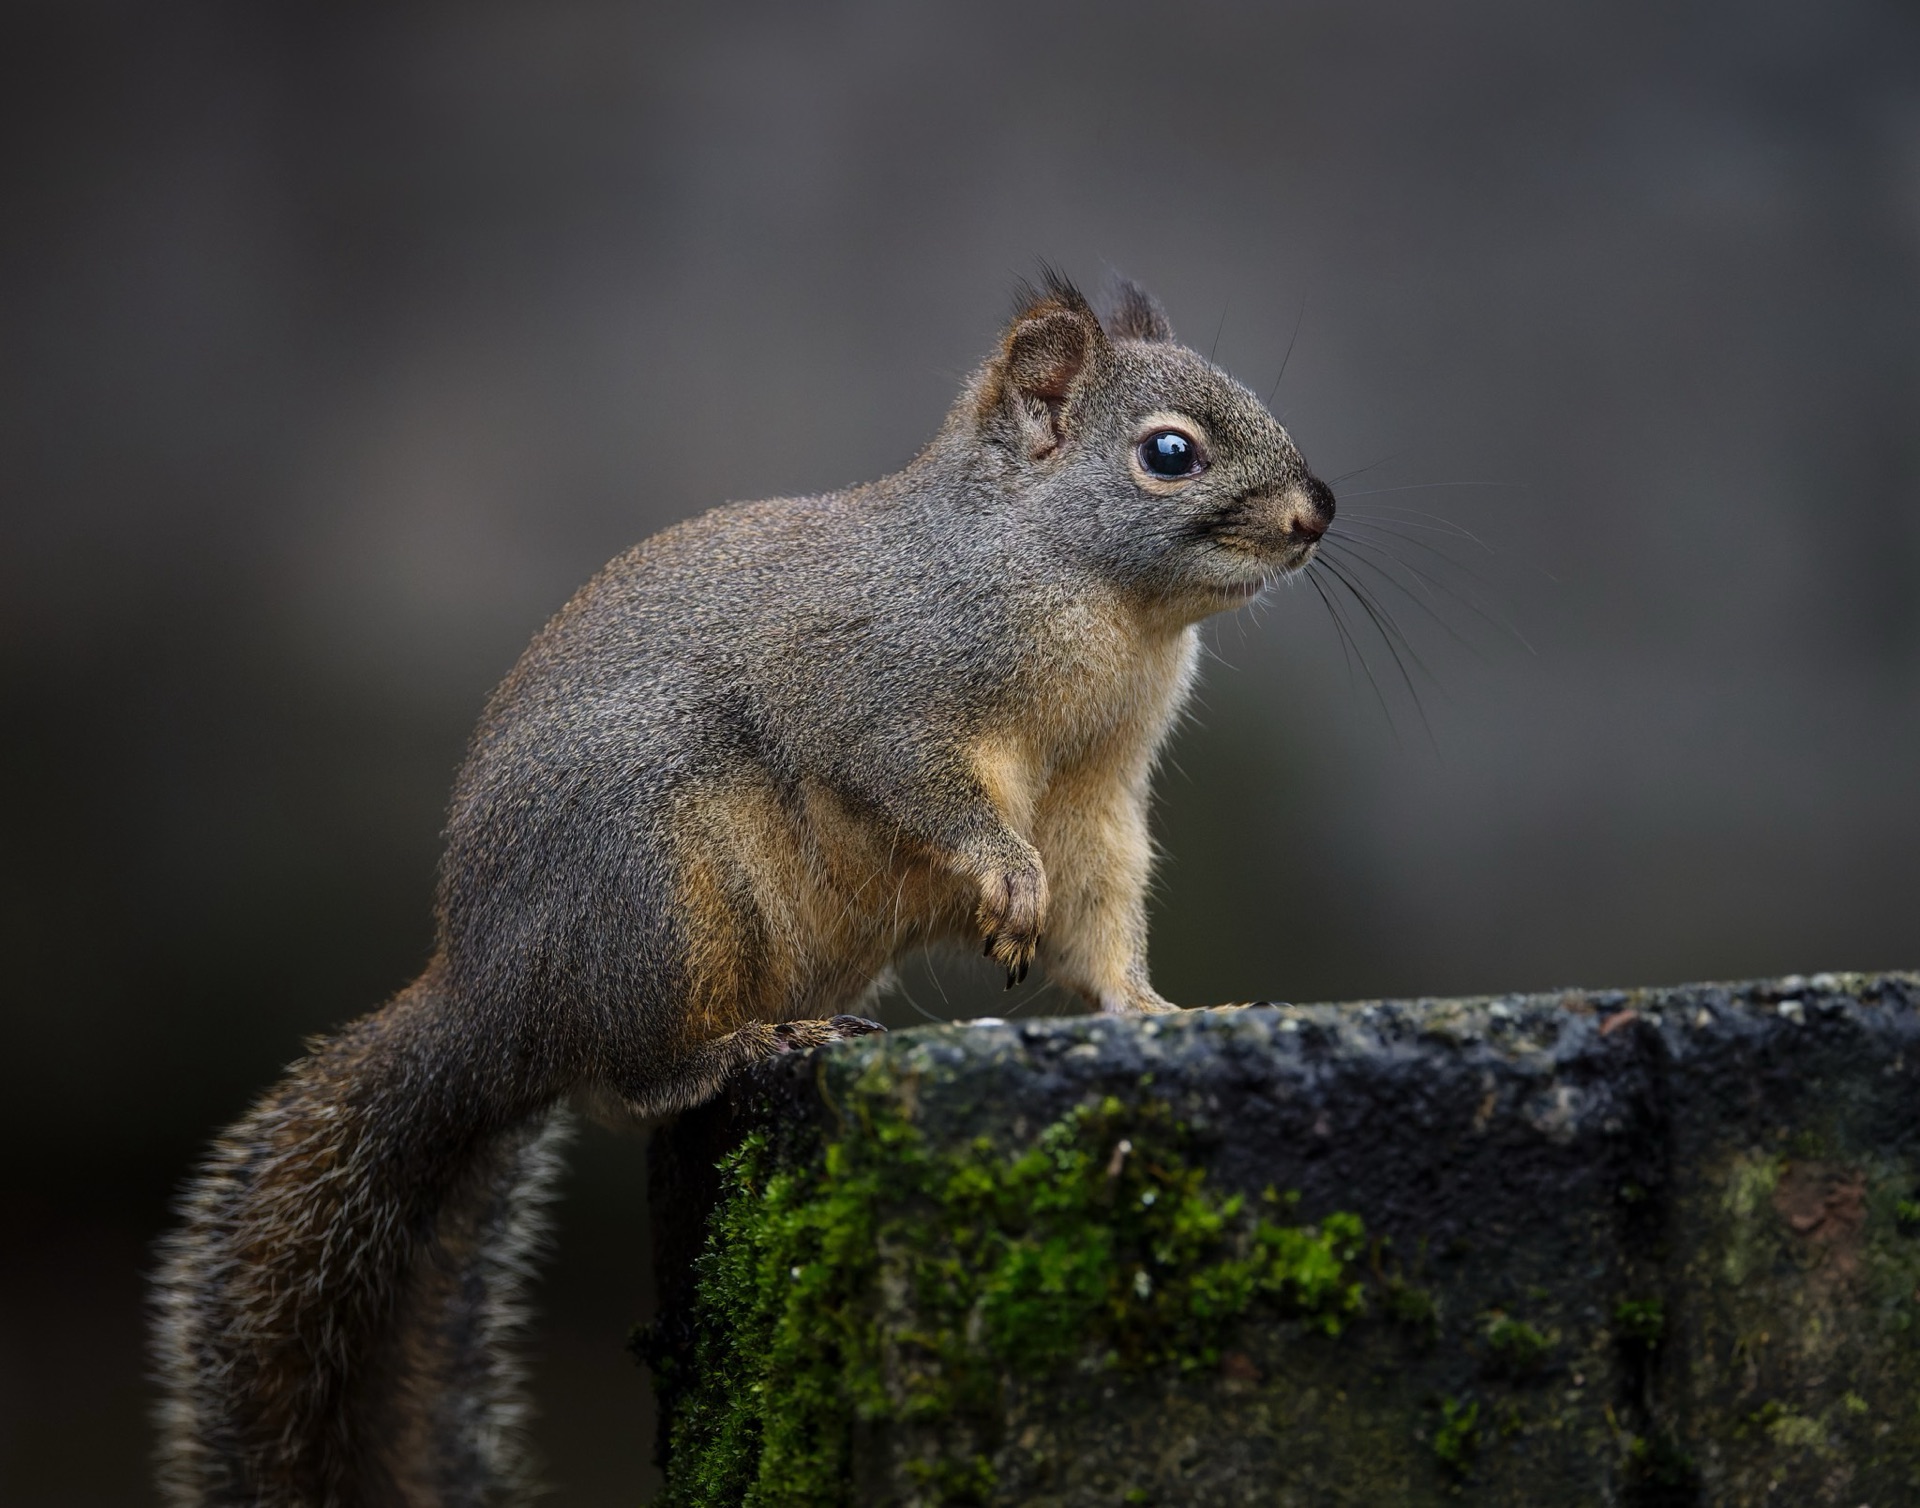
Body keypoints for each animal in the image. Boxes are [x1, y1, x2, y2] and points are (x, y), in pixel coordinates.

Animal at [151, 269, 1335, 1507]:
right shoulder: (883, 693)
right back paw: (747, 1048)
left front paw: (1154, 1007)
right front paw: (1007, 881)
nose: (1316, 514)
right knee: (628, 1076)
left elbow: (1097, 916)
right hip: (661, 894)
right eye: (1170, 453)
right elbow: (930, 792)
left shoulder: (1097, 802)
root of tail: (488, 1001)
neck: (1092, 596)